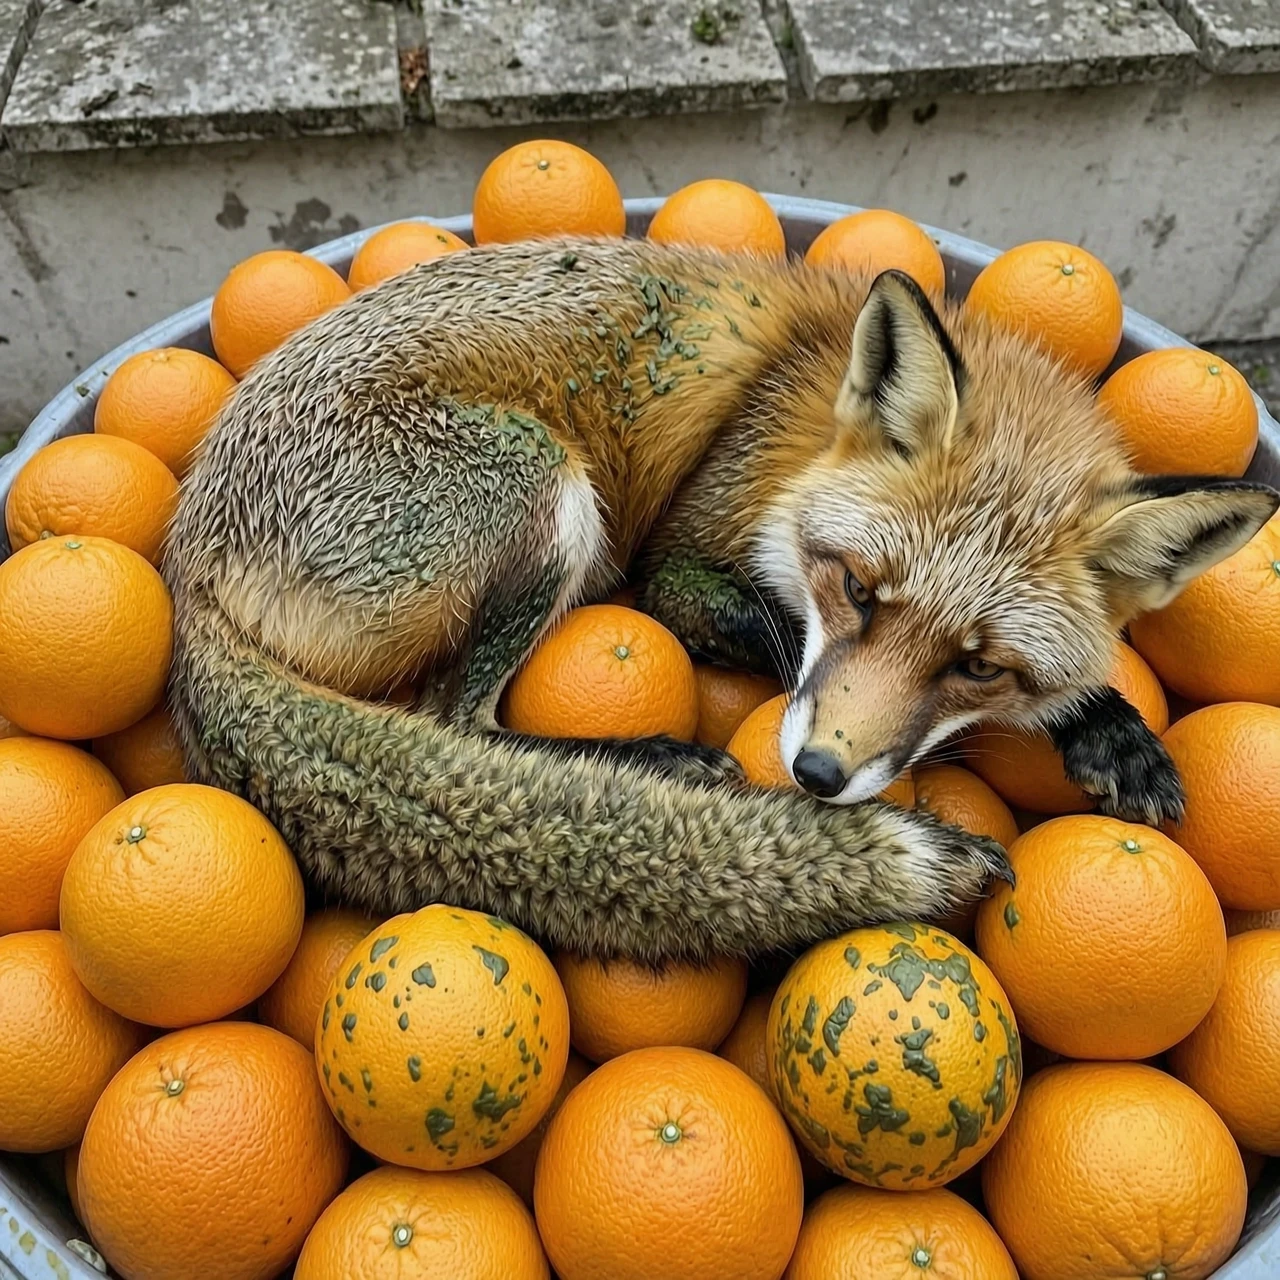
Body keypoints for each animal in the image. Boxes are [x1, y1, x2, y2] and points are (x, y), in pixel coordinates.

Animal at [163, 236, 1278, 963]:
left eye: (978, 664)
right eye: (856, 590)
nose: (819, 774)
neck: (799, 419)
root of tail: (181, 558)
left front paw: (1107, 726)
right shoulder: (676, 564)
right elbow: (775, 631)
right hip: (550, 492)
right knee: (457, 722)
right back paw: (648, 760)